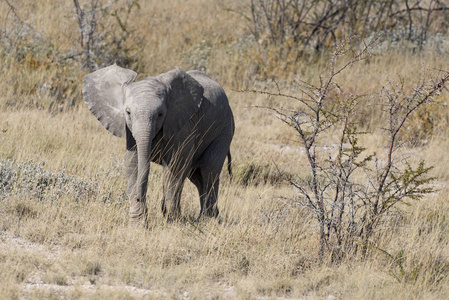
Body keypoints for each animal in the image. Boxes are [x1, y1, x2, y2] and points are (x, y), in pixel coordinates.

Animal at [82, 65, 234, 225]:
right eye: (128, 112)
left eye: (160, 114)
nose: (139, 197)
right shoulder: (130, 131)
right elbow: (133, 163)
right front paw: (138, 223)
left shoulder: (183, 124)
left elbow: (175, 165)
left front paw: (172, 220)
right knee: (197, 176)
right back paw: (210, 217)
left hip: (224, 129)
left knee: (209, 169)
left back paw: (206, 220)